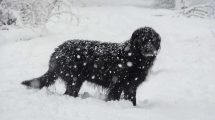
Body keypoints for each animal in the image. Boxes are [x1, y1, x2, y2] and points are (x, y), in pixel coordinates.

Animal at [21, 26, 160, 105]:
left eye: (152, 41)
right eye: (142, 40)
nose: (149, 49)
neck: (133, 58)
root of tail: (57, 50)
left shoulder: (131, 86)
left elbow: (132, 100)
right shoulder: (117, 84)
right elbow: (113, 97)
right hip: (74, 80)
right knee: (69, 94)